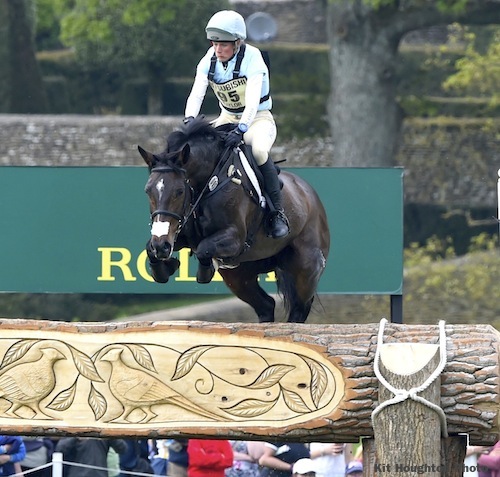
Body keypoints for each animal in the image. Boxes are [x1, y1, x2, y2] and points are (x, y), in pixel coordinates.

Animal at [139, 117, 330, 322]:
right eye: (148, 190)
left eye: (179, 191)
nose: (162, 247)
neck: (208, 181)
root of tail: (309, 193)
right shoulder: (179, 234)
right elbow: (150, 248)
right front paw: (163, 269)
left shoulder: (235, 238)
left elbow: (203, 248)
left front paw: (203, 272)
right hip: (239, 277)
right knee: (266, 305)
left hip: (306, 267)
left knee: (299, 308)